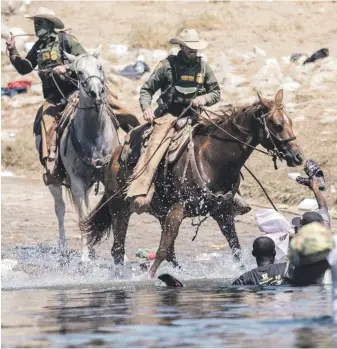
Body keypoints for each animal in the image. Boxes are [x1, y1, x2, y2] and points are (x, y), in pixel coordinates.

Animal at [83, 89, 302, 274]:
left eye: (291, 122)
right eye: (277, 125)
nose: (298, 156)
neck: (213, 159)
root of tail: (114, 157)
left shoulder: (223, 212)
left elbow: (236, 248)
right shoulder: (178, 210)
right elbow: (162, 249)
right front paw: (150, 278)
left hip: (160, 213)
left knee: (168, 252)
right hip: (120, 209)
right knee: (118, 249)